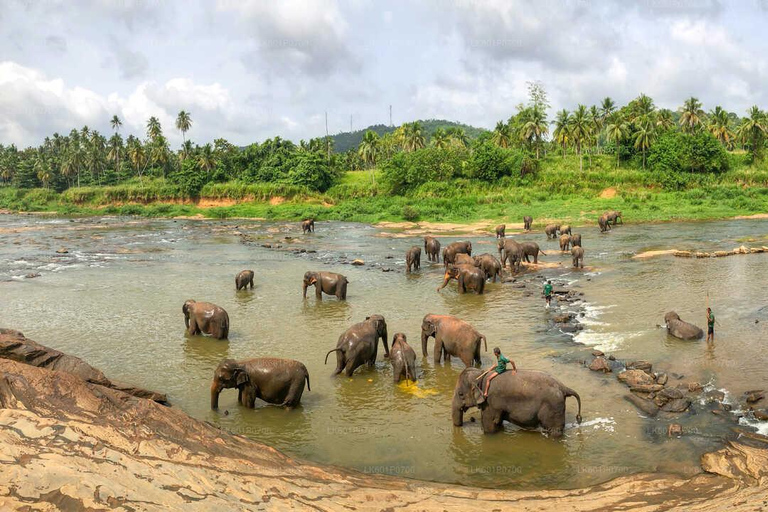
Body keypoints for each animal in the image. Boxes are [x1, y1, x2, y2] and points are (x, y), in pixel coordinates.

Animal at [450, 368, 584, 436]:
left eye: (460, 394)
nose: (468, 422)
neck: (482, 374)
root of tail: (564, 387)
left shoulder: (491, 402)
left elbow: (489, 424)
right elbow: (497, 423)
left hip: (553, 407)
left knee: (554, 431)